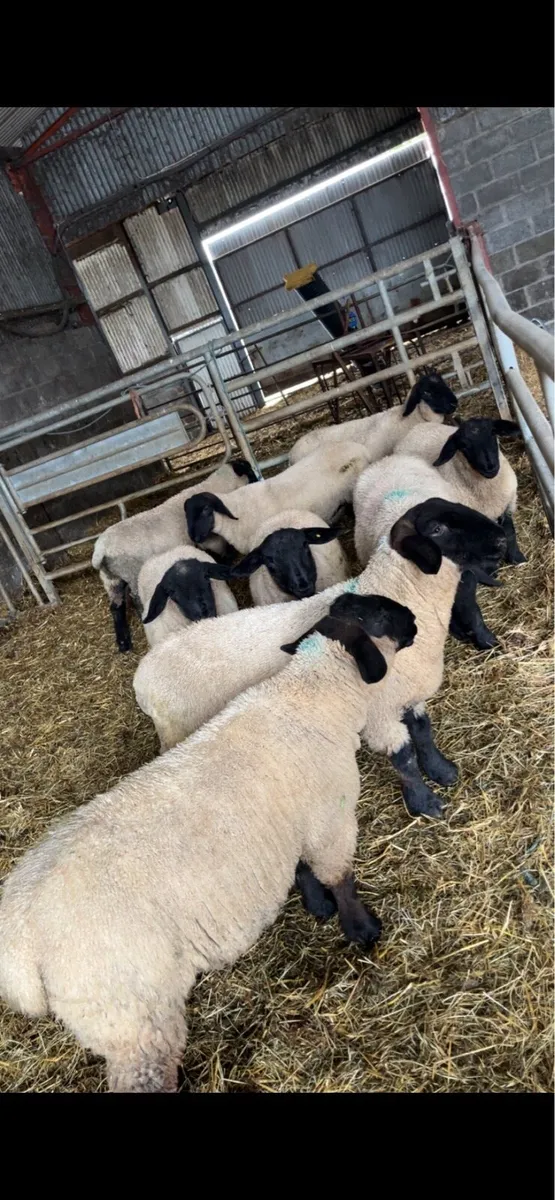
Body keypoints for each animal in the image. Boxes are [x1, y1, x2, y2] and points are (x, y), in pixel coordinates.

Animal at [0, 592, 417, 1093]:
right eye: (382, 613)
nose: (416, 622)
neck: (310, 697)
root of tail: (18, 940)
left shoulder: (290, 822)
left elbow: (301, 869)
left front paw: (316, 905)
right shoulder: (329, 819)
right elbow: (341, 877)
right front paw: (362, 930)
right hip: (130, 1015)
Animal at [92, 458, 255, 653]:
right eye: (248, 470)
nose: (257, 479)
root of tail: (101, 549)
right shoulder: (210, 541)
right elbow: (225, 555)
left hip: (111, 580)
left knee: (116, 606)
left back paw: (124, 642)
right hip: (131, 573)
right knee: (134, 599)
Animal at [134, 496, 506, 822]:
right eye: (438, 529)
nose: (502, 539)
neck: (401, 594)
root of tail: (142, 678)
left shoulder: (407, 694)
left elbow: (424, 735)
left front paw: (443, 770)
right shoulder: (378, 714)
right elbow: (404, 759)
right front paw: (424, 802)